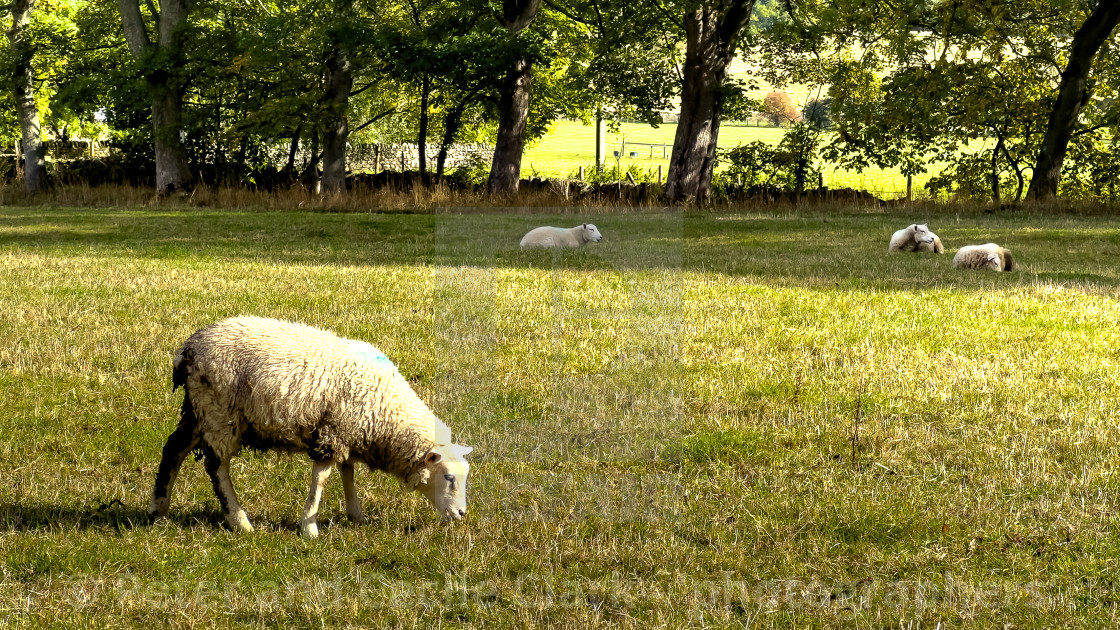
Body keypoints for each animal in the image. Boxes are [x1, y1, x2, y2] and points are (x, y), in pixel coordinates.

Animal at [148, 316, 472, 538]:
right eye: (449, 478)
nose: (461, 514)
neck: (387, 414)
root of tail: (187, 349)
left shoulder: (345, 430)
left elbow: (347, 473)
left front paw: (356, 515)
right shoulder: (331, 433)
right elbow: (322, 479)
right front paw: (309, 527)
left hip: (198, 410)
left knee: (173, 449)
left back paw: (158, 509)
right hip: (219, 411)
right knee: (216, 467)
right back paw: (239, 521)